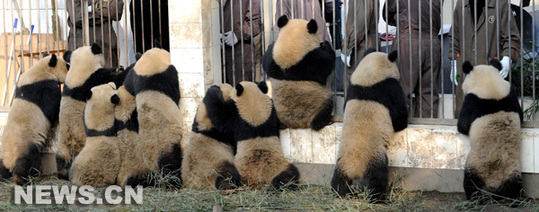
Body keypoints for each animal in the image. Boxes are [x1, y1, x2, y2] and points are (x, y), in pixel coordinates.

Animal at [0, 53, 70, 184]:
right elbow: (53, 107)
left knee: (2, 167)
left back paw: (3, 176)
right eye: (68, 66)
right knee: (28, 159)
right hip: (25, 144)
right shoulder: (43, 87)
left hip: (3, 152)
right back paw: (21, 179)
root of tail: (9, 160)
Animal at [56, 43, 126, 179]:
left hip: (62, 147)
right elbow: (113, 79)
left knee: (61, 161)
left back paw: (63, 173)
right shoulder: (95, 79)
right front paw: (119, 69)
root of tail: (72, 149)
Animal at [123, 48, 184, 187]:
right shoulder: (167, 76)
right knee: (170, 164)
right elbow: (176, 94)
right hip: (167, 145)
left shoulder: (137, 75)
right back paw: (173, 181)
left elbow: (129, 85)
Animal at [332, 48, 408, 203]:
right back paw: (378, 198)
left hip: (341, 161)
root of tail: (355, 168)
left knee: (338, 180)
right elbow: (399, 117)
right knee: (378, 177)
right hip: (374, 157)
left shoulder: (352, 87)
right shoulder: (388, 87)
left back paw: (339, 193)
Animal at [458, 59, 524, 202]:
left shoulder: (473, 100)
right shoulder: (511, 94)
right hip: (513, 169)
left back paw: (475, 198)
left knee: (471, 182)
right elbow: (521, 116)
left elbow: (463, 125)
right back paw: (514, 200)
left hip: (476, 164)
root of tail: (494, 185)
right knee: (515, 186)